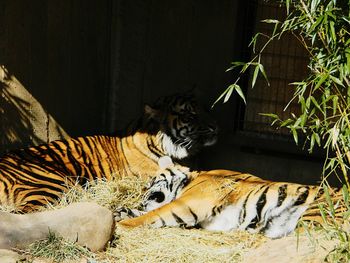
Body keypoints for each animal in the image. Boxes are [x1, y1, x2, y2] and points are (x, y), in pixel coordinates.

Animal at [115, 158, 344, 240]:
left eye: (150, 182)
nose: (142, 196)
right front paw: (120, 211)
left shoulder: (186, 204)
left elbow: (151, 215)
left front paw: (122, 224)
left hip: (315, 215)